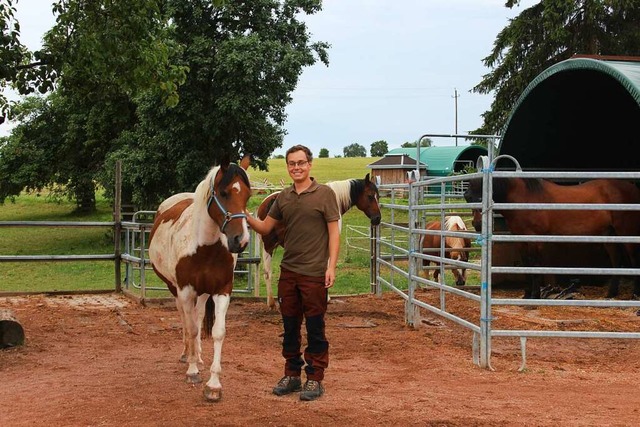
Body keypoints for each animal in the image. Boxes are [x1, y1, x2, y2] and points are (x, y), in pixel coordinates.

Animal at [149, 156, 251, 402]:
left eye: (248, 195)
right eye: (224, 193)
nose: (241, 240)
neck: (205, 248)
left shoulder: (222, 290)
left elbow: (217, 332)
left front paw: (213, 384)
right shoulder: (185, 290)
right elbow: (192, 328)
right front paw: (192, 371)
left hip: (203, 293)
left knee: (198, 314)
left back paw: (199, 356)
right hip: (175, 289)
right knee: (186, 320)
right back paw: (188, 355)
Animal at [256, 175, 384, 310]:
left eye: (378, 196)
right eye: (370, 196)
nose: (377, 218)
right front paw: (325, 297)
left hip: (268, 246)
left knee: (267, 273)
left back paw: (271, 303)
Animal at [462, 176, 640, 300]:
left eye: (480, 197)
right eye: (468, 198)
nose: (477, 224)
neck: (524, 198)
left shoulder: (534, 238)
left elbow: (534, 264)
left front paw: (534, 296)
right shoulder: (520, 239)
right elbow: (525, 265)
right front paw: (527, 294)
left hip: (626, 233)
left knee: (632, 258)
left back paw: (634, 295)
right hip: (609, 234)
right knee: (616, 260)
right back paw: (611, 293)